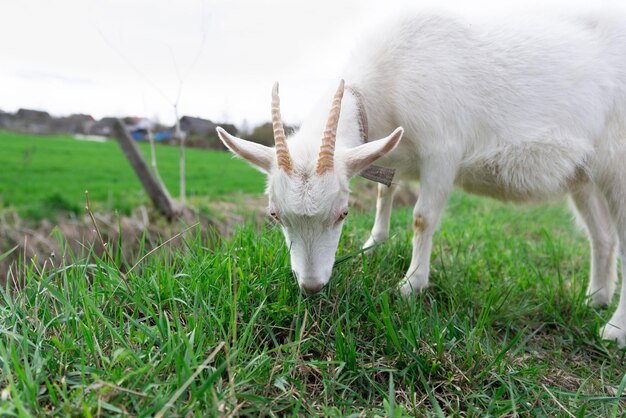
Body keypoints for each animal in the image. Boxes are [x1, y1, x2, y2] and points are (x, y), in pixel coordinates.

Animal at [217, 12, 624, 346]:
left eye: (342, 213)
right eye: (275, 216)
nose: (312, 286)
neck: (388, 80)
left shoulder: (442, 152)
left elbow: (422, 218)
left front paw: (411, 284)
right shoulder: (390, 151)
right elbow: (384, 193)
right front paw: (374, 244)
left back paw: (614, 331)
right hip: (584, 178)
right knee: (603, 237)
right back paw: (596, 298)